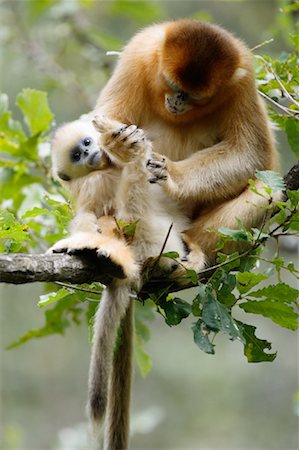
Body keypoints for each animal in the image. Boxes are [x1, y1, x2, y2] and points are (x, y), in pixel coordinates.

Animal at [48, 115, 189, 446]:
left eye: (86, 143)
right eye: (77, 155)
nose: (90, 153)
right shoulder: (92, 184)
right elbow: (99, 212)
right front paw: (129, 150)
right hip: (153, 242)